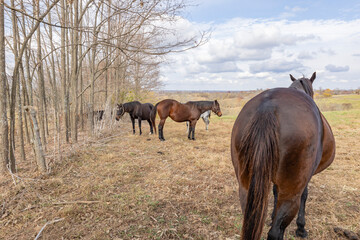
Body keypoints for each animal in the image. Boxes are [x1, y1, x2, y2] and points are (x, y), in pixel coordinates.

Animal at [231, 72, 334, 240]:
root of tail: (268, 107)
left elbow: (275, 192)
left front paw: (272, 216)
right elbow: (304, 195)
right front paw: (301, 228)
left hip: (246, 188)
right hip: (291, 193)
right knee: (275, 232)